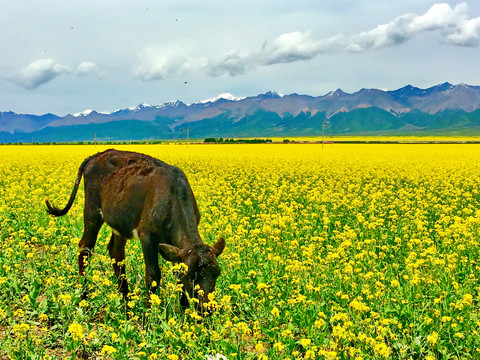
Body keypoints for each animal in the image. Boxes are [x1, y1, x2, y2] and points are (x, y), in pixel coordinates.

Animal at [45, 149, 225, 310]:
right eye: (192, 275)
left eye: (217, 273)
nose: (207, 309)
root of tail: (98, 154)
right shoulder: (147, 236)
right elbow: (153, 275)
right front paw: (148, 315)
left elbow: (176, 273)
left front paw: (184, 309)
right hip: (92, 211)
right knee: (85, 248)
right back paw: (84, 295)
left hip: (119, 220)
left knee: (116, 251)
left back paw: (125, 299)